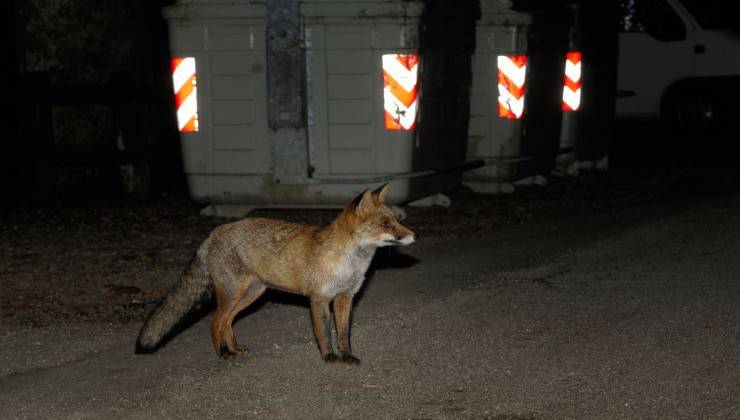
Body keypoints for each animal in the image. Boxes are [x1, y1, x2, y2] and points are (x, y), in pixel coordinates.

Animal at [136, 183, 417, 364]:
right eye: (385, 224)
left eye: (395, 220)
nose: (414, 235)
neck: (349, 264)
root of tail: (214, 233)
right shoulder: (318, 299)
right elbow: (325, 333)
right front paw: (329, 357)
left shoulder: (345, 298)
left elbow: (344, 333)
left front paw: (346, 356)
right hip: (233, 294)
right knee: (215, 321)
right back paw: (223, 354)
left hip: (252, 295)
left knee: (227, 322)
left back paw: (234, 348)